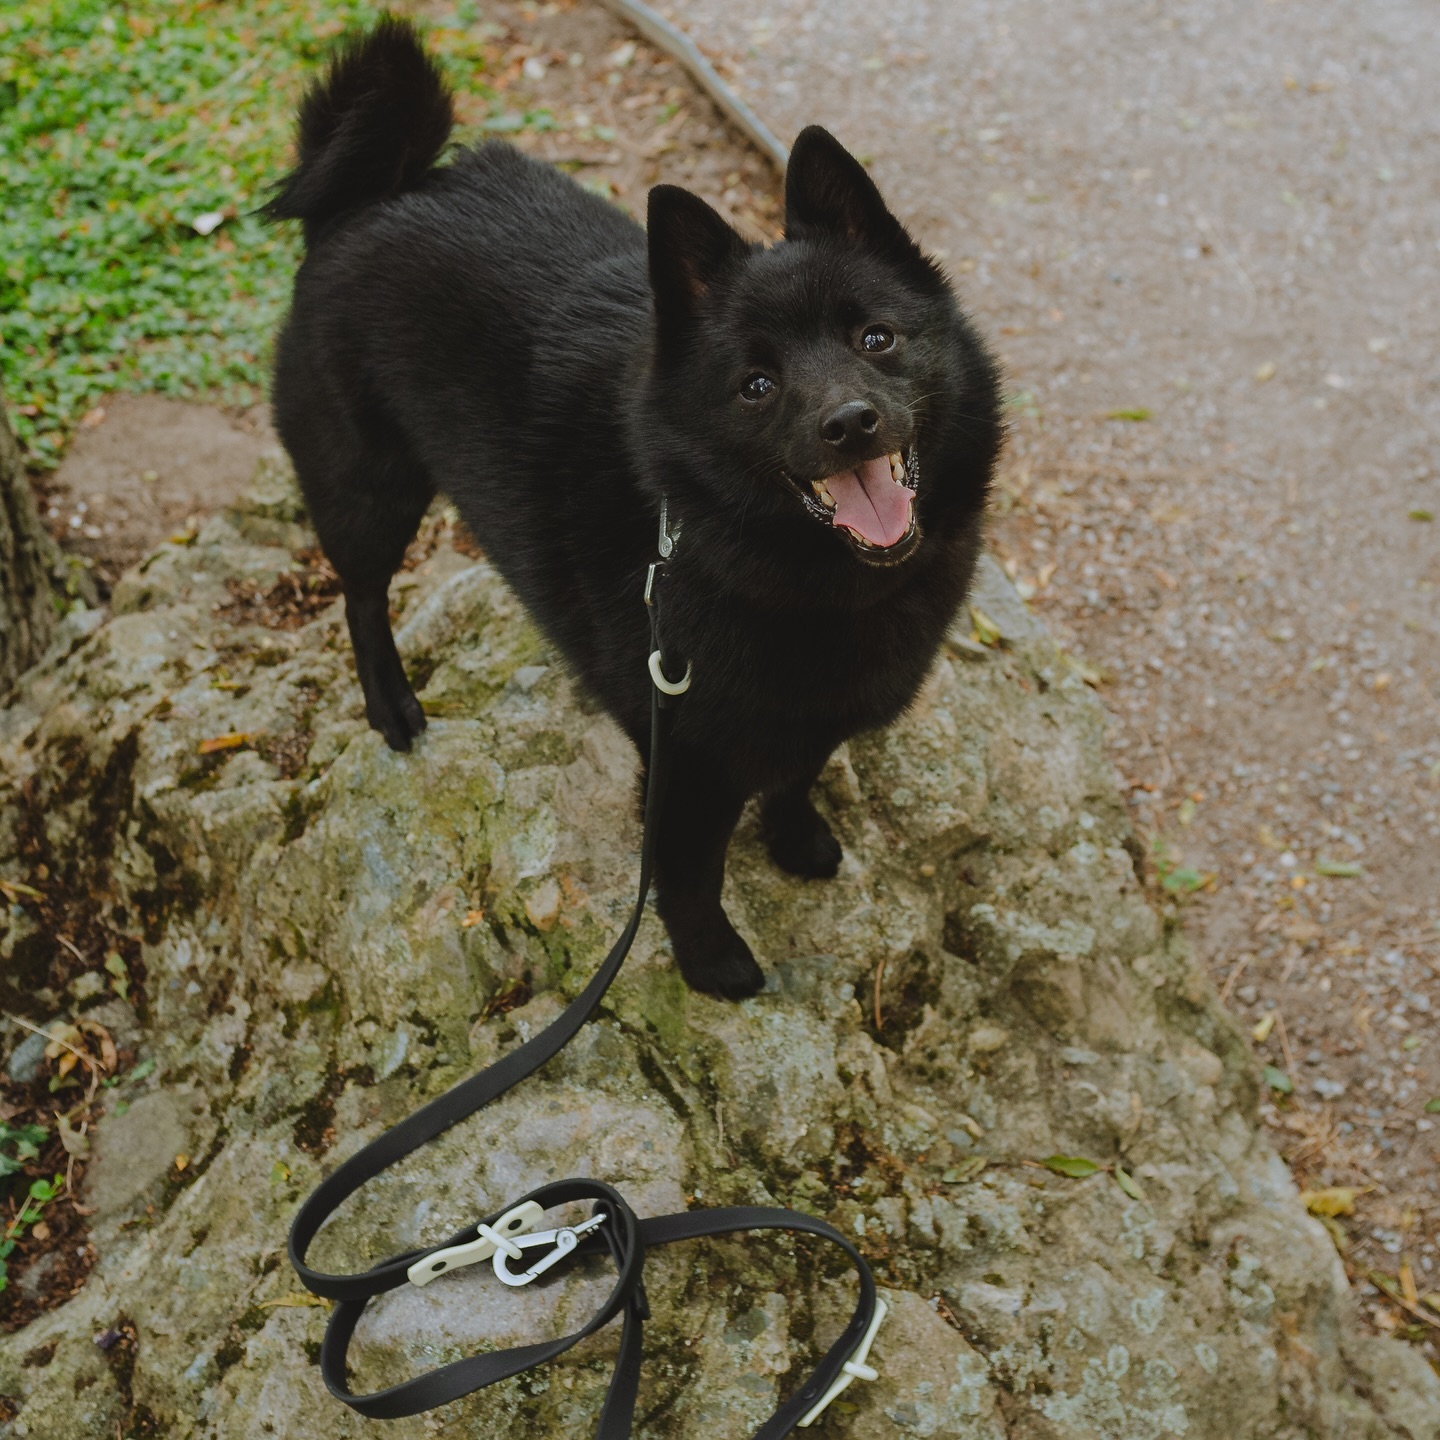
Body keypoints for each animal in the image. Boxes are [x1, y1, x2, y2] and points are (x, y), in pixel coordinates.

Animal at [264, 16, 996, 1002]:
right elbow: (688, 876)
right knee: (362, 593)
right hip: (367, 483)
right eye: (757, 385)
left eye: (874, 337)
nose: (849, 422)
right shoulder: (685, 765)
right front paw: (711, 962)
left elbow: (797, 775)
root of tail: (379, 192)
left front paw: (797, 839)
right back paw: (392, 706)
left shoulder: (803, 721)